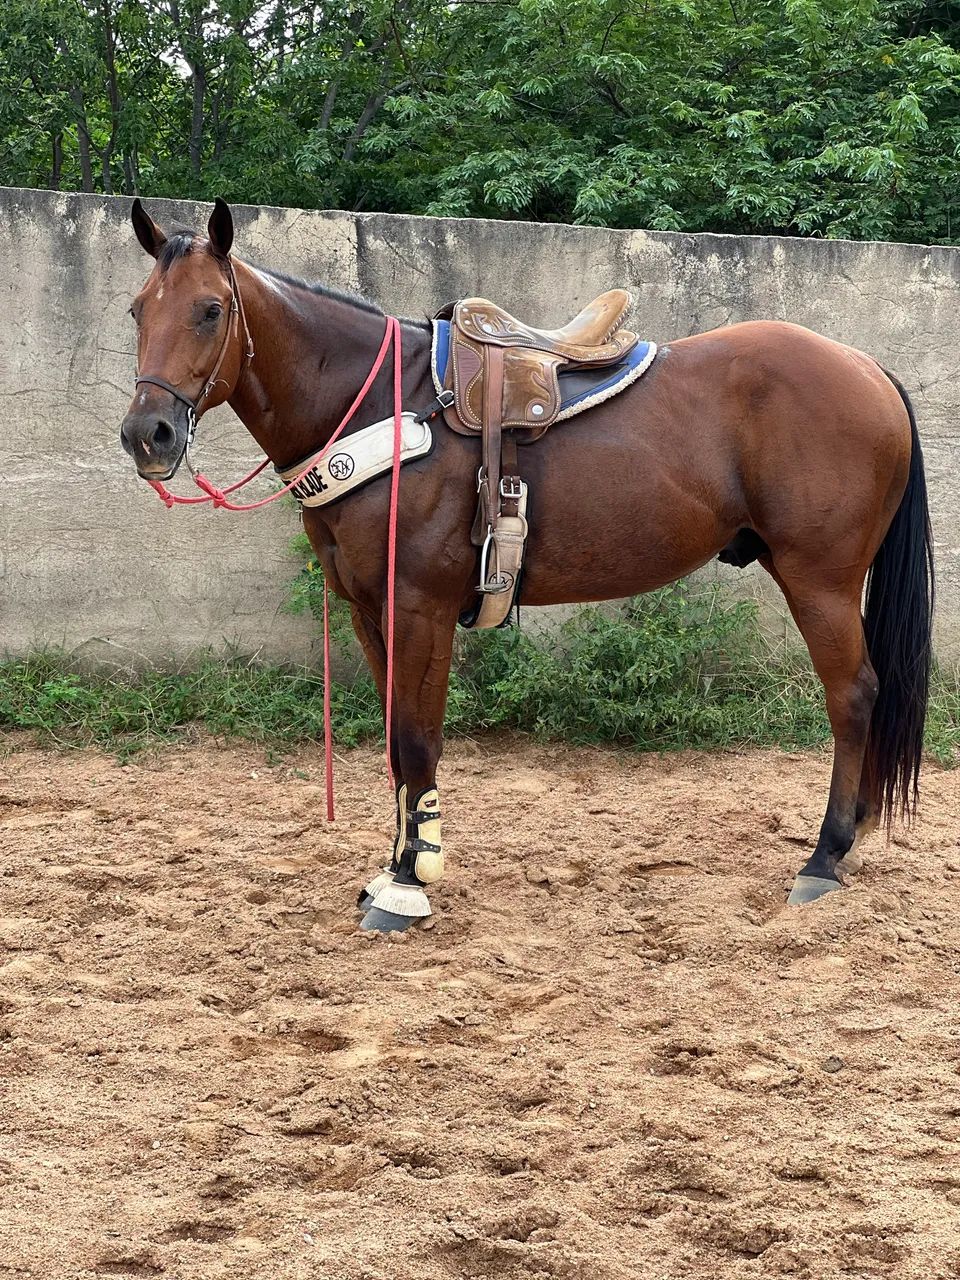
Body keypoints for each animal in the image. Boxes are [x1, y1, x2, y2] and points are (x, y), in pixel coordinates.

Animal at [119, 199, 934, 933]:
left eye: (211, 311)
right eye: (136, 311)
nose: (146, 435)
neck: (378, 404)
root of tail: (867, 368)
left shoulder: (420, 605)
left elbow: (416, 739)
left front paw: (408, 885)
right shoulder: (368, 610)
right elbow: (395, 746)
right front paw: (392, 866)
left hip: (820, 580)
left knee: (854, 696)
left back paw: (824, 857)